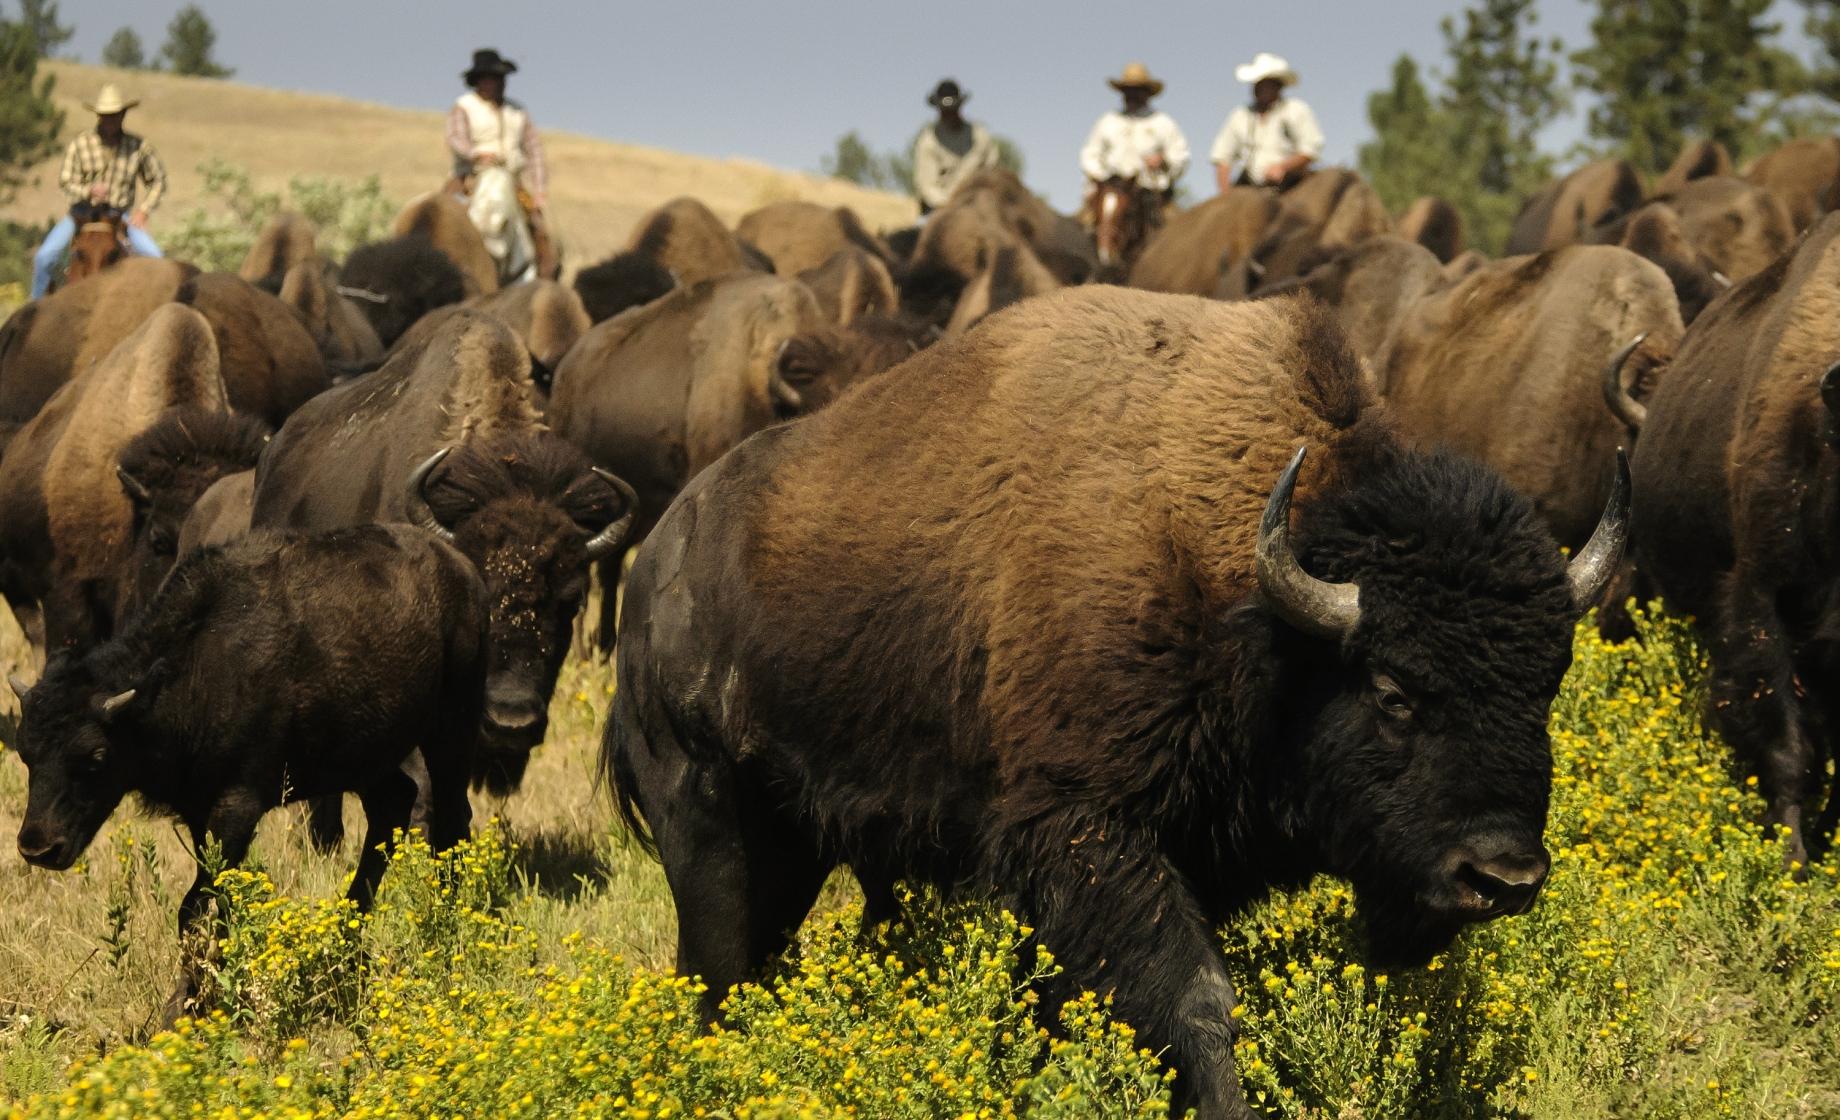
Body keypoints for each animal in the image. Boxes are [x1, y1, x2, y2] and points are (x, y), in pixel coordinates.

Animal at [603, 283, 1626, 1118]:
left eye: (1549, 682)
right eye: (1392, 690)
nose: (1503, 877)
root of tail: (655, 568)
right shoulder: (1088, 832)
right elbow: (1196, 999)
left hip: (801, 841)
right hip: (707, 819)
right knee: (715, 968)